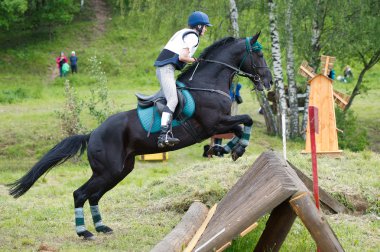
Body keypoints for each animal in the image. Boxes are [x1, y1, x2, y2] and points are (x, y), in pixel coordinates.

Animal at [8, 32, 270, 239]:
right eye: (258, 54)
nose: (268, 81)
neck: (208, 83)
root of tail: (92, 134)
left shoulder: (218, 124)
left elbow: (241, 126)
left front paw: (227, 149)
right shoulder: (213, 123)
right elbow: (246, 120)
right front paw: (234, 149)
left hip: (120, 170)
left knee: (94, 196)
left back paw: (102, 227)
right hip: (108, 170)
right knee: (80, 193)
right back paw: (84, 232)